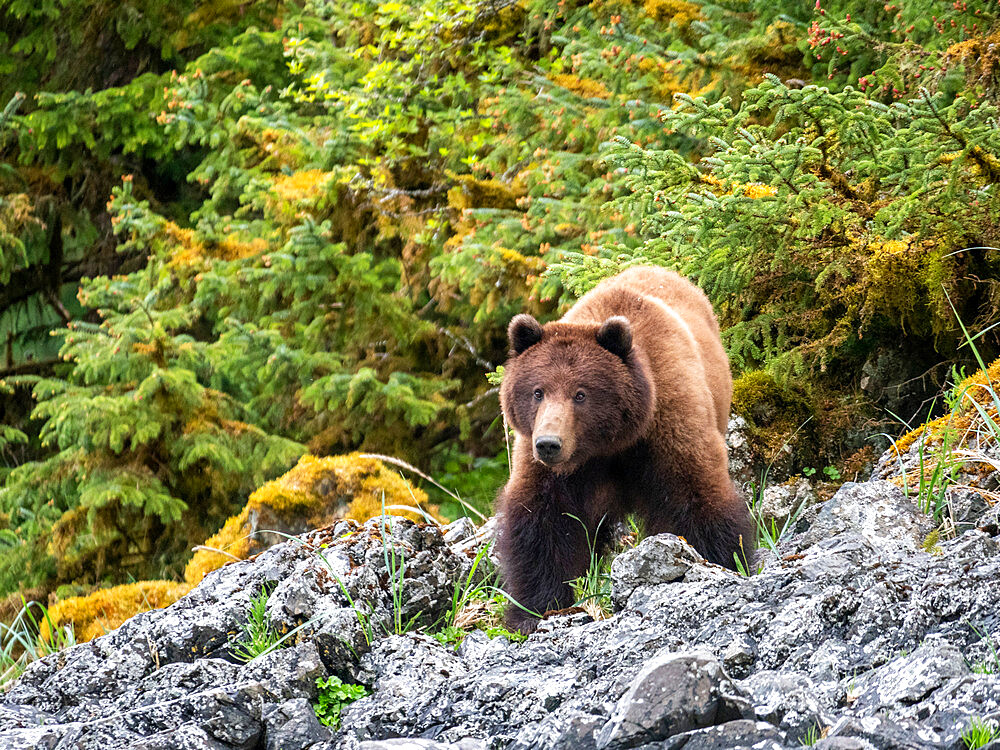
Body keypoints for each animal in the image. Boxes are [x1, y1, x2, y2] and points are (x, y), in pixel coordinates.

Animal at [496, 268, 752, 632]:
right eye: (537, 391)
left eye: (580, 393)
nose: (548, 444)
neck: (608, 444)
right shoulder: (553, 471)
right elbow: (541, 523)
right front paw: (534, 608)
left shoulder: (668, 424)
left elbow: (695, 495)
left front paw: (721, 562)